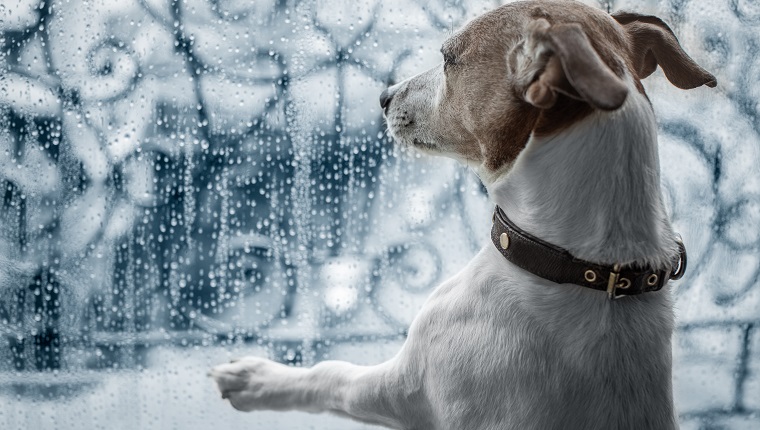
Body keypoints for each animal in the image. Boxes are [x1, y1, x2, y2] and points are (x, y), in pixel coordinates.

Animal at [211, 1, 716, 428]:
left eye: (449, 58)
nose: (384, 95)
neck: (581, 266)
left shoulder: (403, 386)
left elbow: (332, 375)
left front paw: (256, 379)